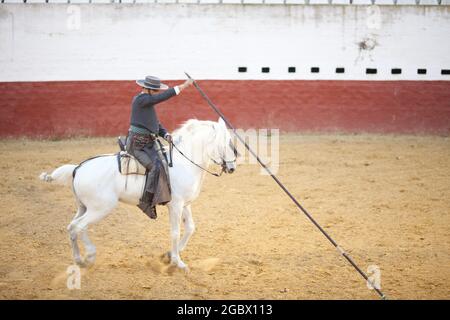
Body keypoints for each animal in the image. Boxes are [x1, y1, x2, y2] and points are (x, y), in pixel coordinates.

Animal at [40, 117, 237, 270]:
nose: (232, 167)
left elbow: (190, 228)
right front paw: (177, 262)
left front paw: (169, 254)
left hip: (83, 207)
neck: (183, 163)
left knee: (72, 227)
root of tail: (78, 168)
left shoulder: (185, 205)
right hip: (100, 208)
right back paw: (90, 255)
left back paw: (79, 259)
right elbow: (175, 231)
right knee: (79, 226)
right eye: (225, 143)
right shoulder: (175, 205)